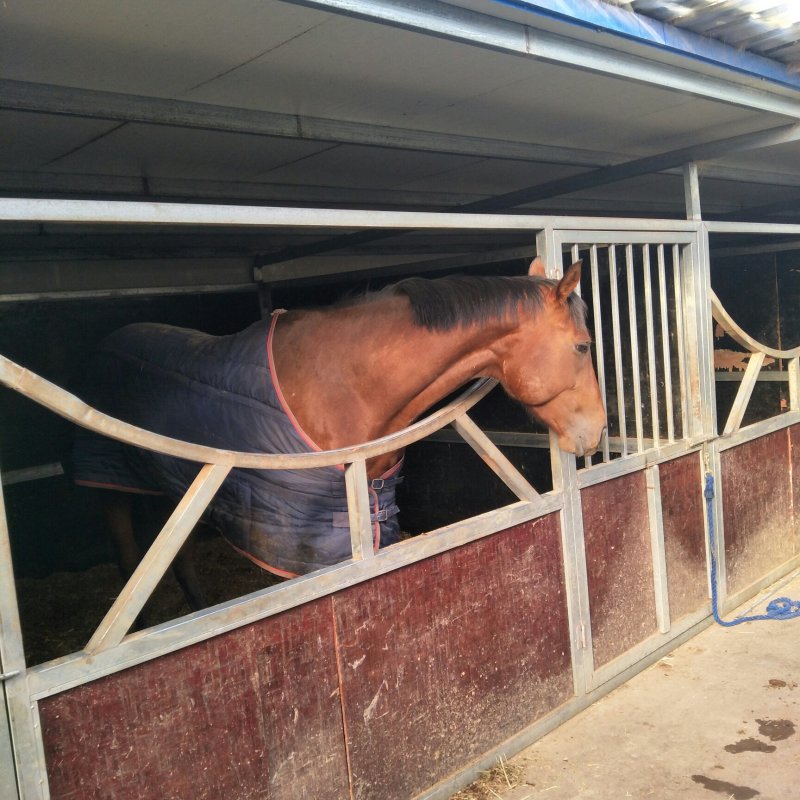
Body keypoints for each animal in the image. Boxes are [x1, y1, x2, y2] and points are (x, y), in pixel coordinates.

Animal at [72, 257, 606, 608]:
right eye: (582, 346)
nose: (598, 431)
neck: (347, 384)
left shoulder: (372, 506)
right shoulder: (296, 538)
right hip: (111, 485)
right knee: (129, 557)